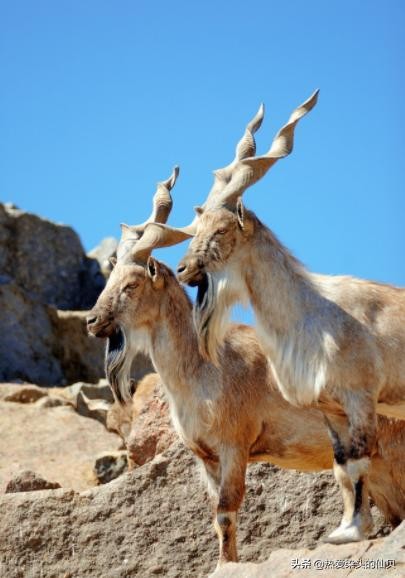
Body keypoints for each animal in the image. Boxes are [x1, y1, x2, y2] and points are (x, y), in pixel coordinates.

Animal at [87, 170, 405, 568]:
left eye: (130, 284)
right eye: (109, 279)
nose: (92, 321)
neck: (205, 369)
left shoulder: (234, 446)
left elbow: (227, 509)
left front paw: (226, 565)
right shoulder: (206, 458)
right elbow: (216, 515)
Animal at [175, 92, 405, 544]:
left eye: (221, 231)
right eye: (196, 227)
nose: (182, 269)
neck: (313, 314)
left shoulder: (361, 398)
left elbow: (360, 460)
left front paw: (354, 532)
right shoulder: (331, 410)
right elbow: (342, 466)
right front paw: (344, 528)